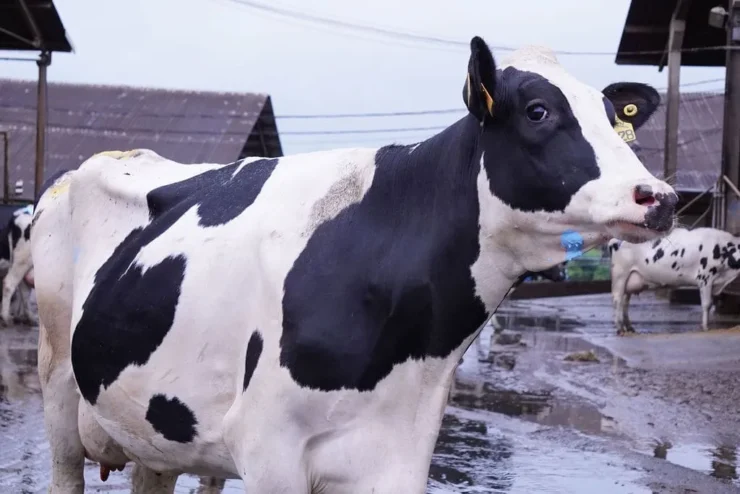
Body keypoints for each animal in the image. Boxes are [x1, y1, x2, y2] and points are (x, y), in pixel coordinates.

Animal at [31, 38, 678, 494]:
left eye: (613, 117)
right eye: (538, 111)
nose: (661, 197)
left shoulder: (398, 454)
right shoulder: (267, 450)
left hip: (150, 425)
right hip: (57, 384)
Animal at [609, 227, 740, 334]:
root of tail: (615, 240)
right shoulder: (705, 277)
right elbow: (706, 304)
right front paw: (705, 327)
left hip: (630, 280)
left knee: (625, 302)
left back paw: (629, 327)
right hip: (620, 275)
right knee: (617, 300)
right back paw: (620, 328)